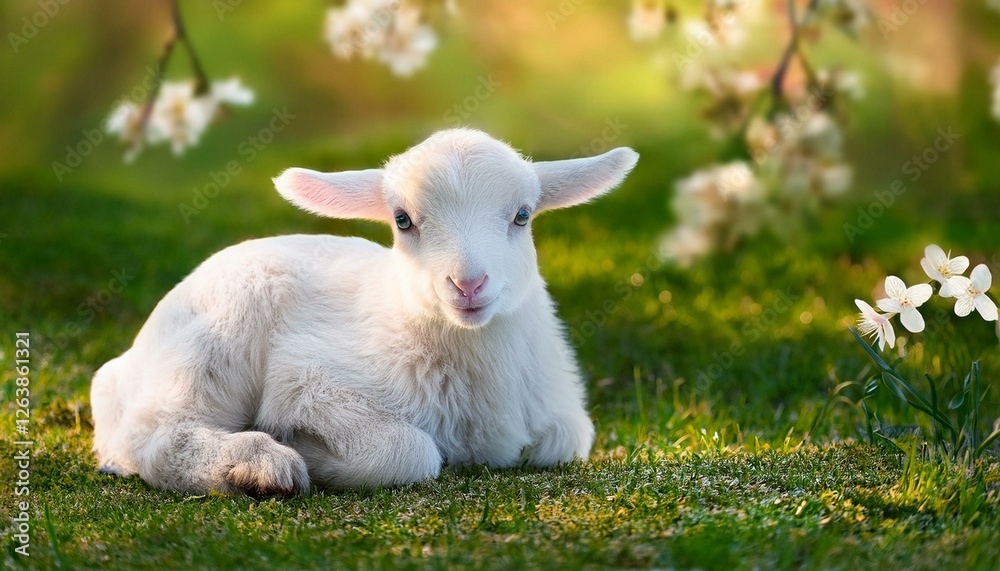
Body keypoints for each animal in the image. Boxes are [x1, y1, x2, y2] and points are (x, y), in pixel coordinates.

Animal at [90, 128, 639, 496]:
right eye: (402, 221)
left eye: (522, 216)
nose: (468, 284)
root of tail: (122, 366)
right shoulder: (309, 382)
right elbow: (412, 451)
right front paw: (310, 453)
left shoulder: (559, 418)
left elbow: (564, 439)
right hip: (215, 339)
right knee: (156, 436)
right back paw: (260, 466)